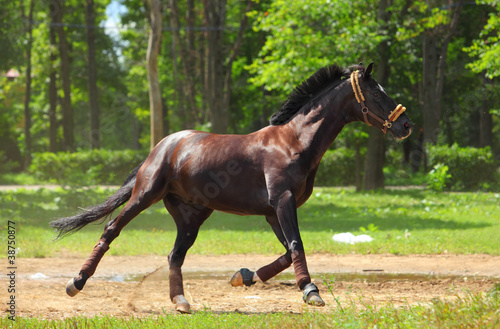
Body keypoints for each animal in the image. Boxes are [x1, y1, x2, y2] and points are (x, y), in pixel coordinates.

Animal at [50, 62, 412, 312]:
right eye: (377, 93)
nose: (406, 125)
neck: (294, 142)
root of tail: (163, 147)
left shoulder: (273, 211)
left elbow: (286, 252)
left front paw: (244, 276)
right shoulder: (282, 201)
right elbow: (296, 245)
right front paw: (311, 292)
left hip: (191, 215)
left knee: (175, 254)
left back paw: (180, 301)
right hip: (145, 195)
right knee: (111, 229)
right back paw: (76, 282)